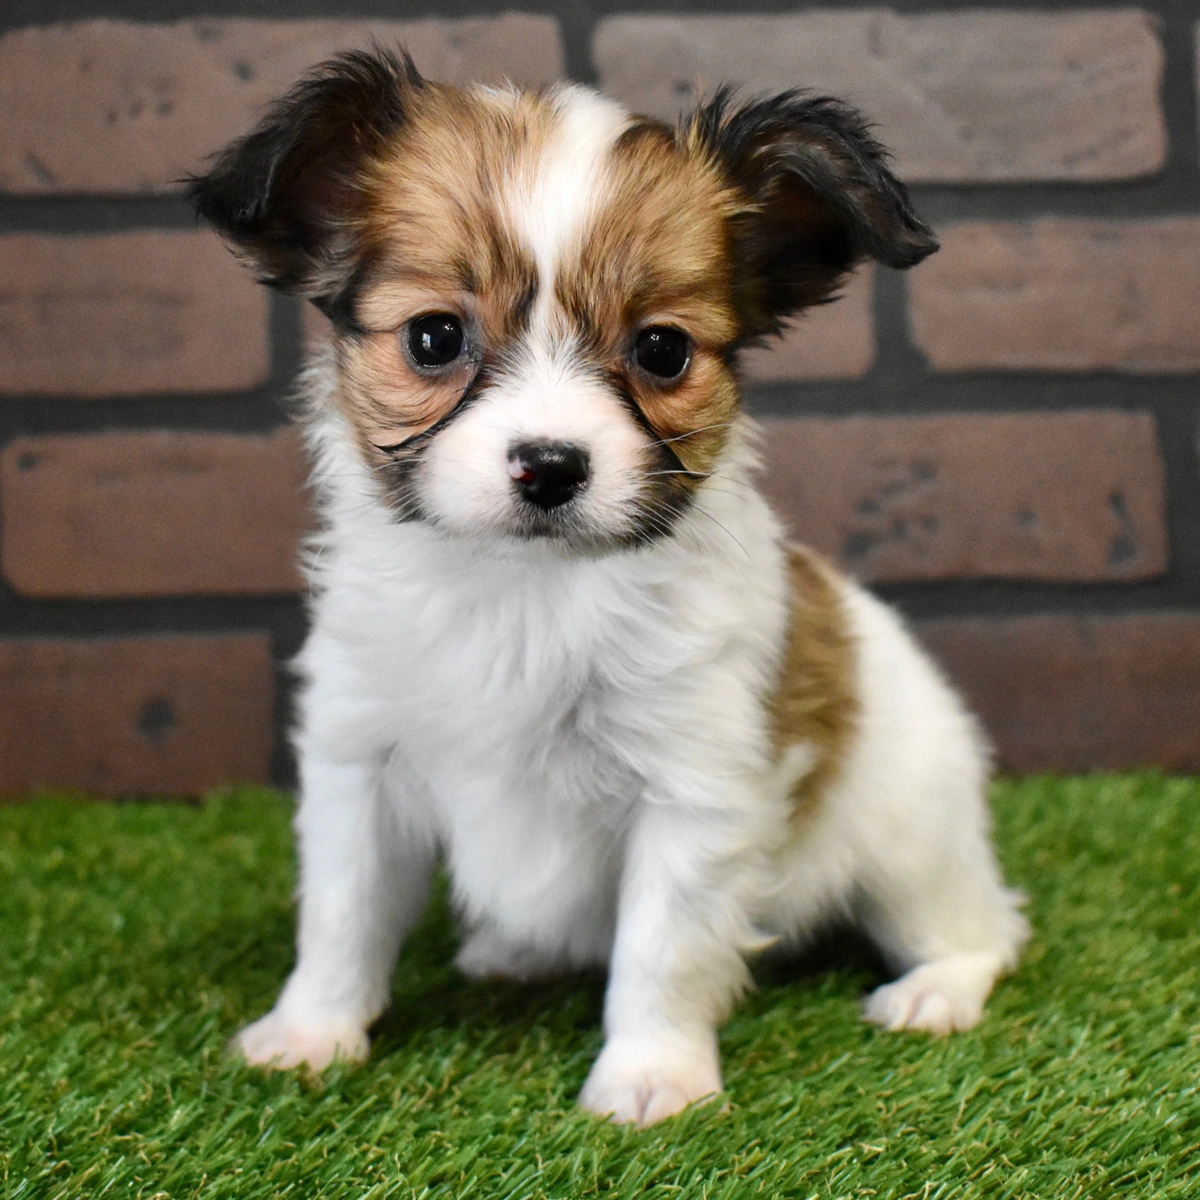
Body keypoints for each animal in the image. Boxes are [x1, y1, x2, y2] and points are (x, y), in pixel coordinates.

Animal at [192, 49, 1027, 1132]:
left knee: (987, 931)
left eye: (662, 350)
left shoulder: (691, 793)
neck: (527, 592)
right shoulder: (358, 761)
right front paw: (311, 1031)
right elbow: (341, 914)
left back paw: (934, 991)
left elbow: (660, 949)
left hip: (910, 842)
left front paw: (650, 1076)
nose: (551, 465)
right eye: (433, 338)